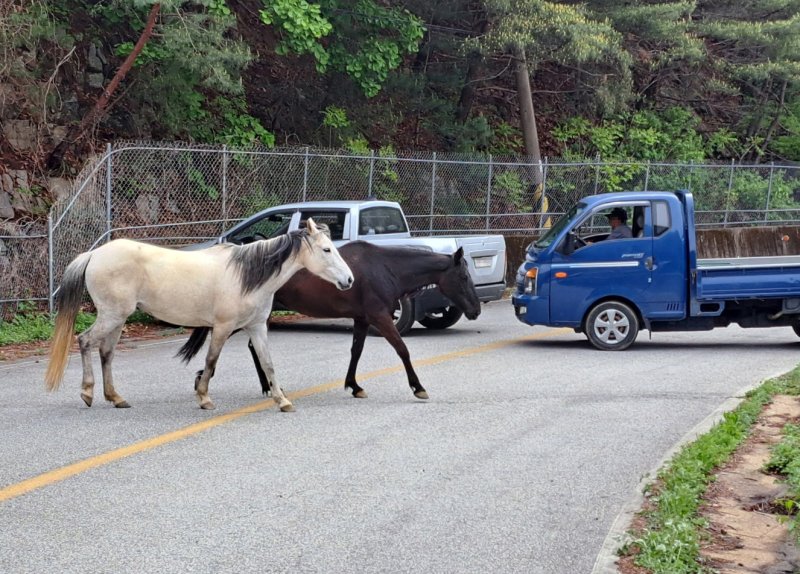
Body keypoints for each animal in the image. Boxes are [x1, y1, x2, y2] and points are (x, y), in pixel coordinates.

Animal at [44, 220, 354, 414]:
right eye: (327, 249)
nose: (349, 280)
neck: (247, 276)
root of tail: (94, 254)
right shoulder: (222, 328)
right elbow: (210, 361)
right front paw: (204, 398)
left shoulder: (256, 328)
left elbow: (268, 365)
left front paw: (282, 401)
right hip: (111, 316)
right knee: (85, 341)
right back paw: (87, 393)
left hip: (117, 319)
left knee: (106, 353)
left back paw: (116, 398)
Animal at [178, 241, 482, 402]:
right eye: (463, 277)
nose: (476, 310)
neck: (385, 269)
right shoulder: (380, 317)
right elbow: (402, 350)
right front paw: (418, 387)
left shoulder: (362, 319)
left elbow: (356, 351)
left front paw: (354, 385)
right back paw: (204, 379)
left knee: (253, 347)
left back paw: (267, 386)